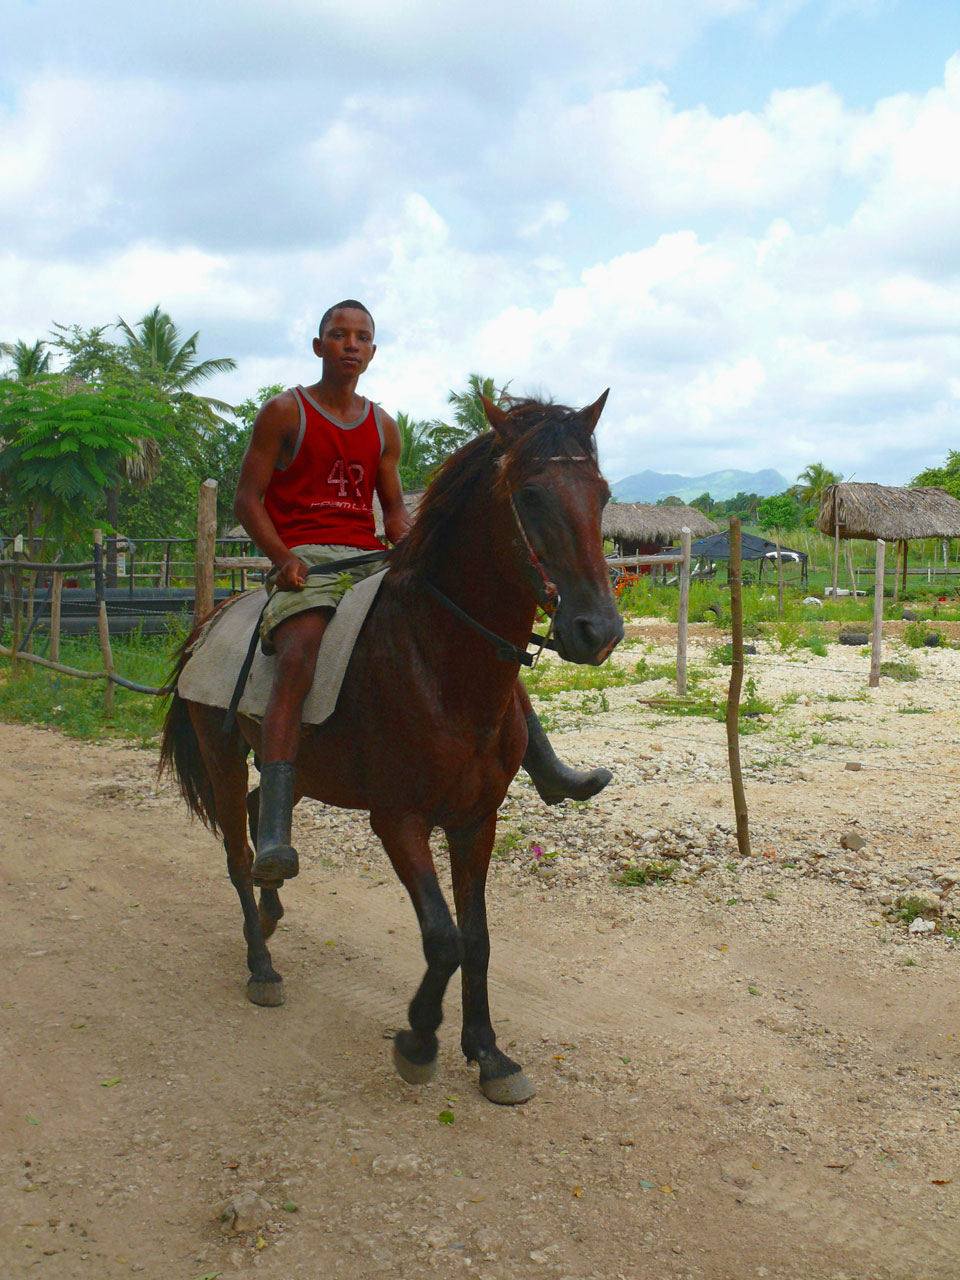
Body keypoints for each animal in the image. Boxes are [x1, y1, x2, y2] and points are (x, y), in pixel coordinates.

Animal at [160, 389, 624, 1100]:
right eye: (531, 495)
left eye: (601, 495)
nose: (598, 630)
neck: (437, 660)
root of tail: (210, 620)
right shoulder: (398, 820)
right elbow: (444, 938)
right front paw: (418, 1041)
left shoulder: (475, 820)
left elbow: (478, 937)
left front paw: (489, 1054)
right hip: (222, 753)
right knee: (238, 855)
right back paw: (261, 964)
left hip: (289, 769)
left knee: (266, 809)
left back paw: (270, 905)